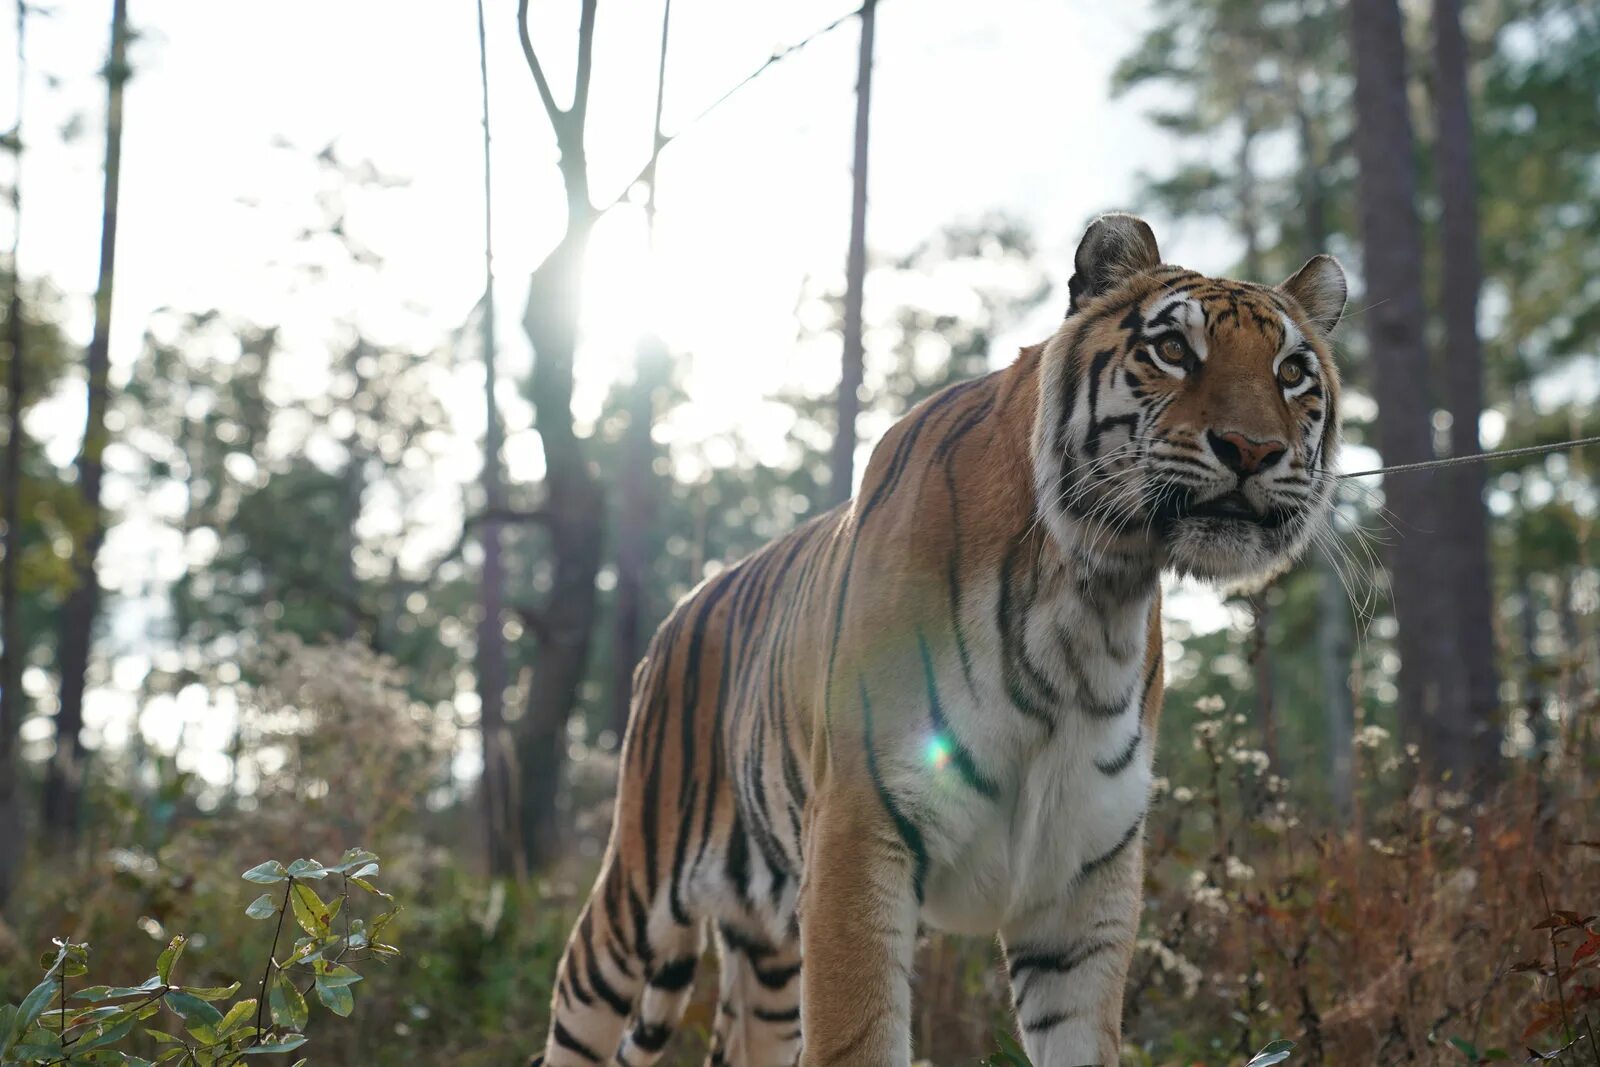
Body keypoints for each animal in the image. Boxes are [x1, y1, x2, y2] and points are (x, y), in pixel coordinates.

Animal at [529, 213, 1347, 1067]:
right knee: (578, 1002)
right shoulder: (858, 838)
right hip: (637, 890)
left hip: (770, 949)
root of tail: (680, 611)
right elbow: (858, 1036)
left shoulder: (1083, 878)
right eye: (1173, 349)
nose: (1253, 450)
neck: (1091, 601)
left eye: (1293, 371)